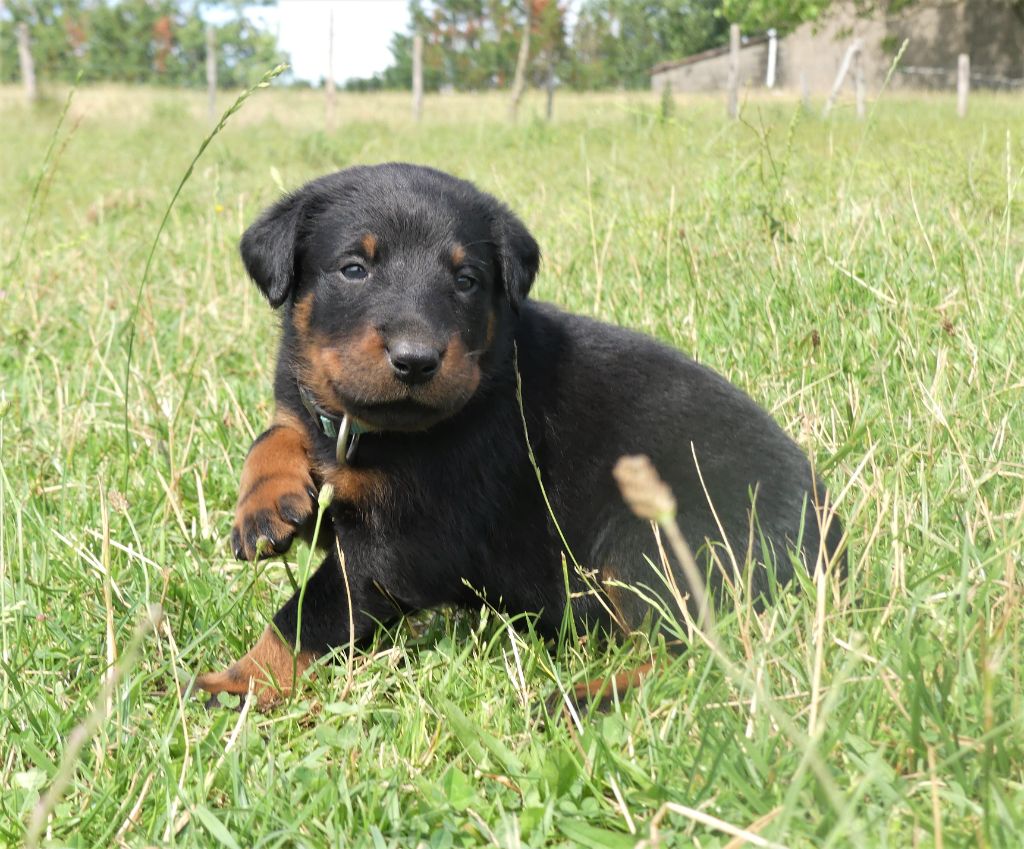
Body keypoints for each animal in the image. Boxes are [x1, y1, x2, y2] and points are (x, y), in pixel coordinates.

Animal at [195, 161, 843, 704]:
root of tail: (830, 537)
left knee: (698, 652)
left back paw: (579, 698)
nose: (416, 361)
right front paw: (264, 502)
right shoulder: (320, 429)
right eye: (354, 269)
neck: (375, 430)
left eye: (466, 280)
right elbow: (277, 432)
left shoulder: (401, 546)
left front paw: (239, 681)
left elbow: (311, 613)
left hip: (653, 542)